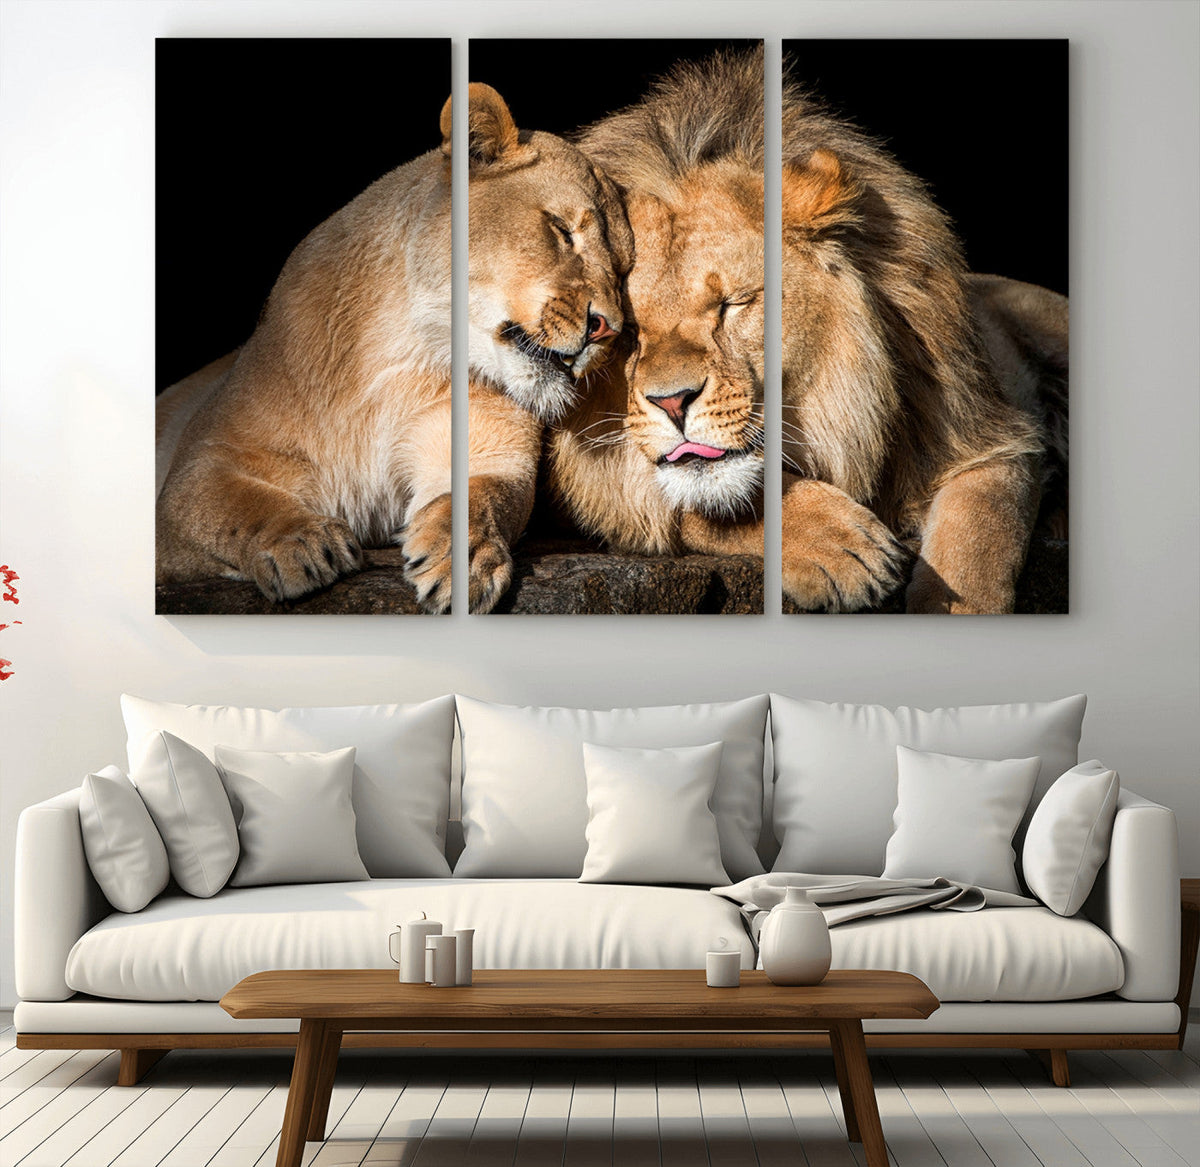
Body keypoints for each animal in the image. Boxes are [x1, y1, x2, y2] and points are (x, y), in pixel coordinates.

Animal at [156, 84, 632, 614]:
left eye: (623, 270)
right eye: (562, 230)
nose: (606, 329)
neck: (404, 355)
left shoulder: (490, 449)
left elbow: (480, 497)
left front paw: (465, 558)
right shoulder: (202, 463)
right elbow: (232, 505)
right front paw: (302, 543)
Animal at [547, 48, 1067, 614]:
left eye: (734, 304)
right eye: (628, 330)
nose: (672, 403)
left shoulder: (991, 435)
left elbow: (976, 546)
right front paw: (842, 548)